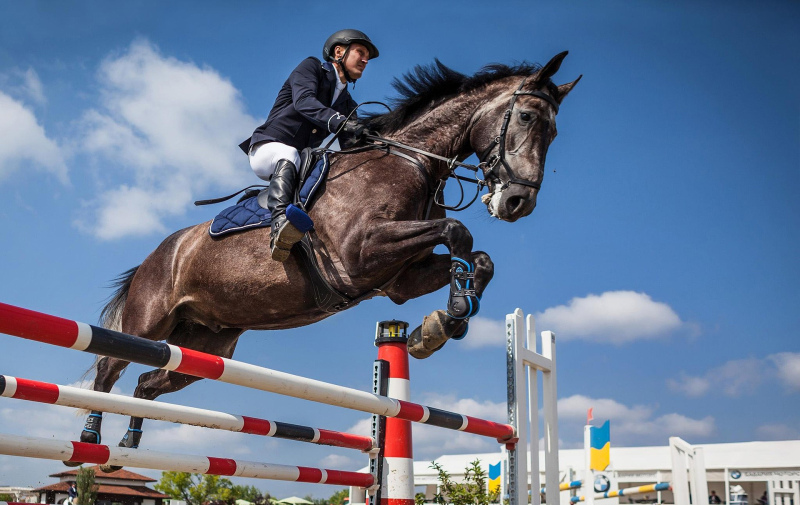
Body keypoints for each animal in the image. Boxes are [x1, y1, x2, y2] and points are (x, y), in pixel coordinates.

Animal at [74, 51, 580, 470]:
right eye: (527, 116)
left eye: (554, 131)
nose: (517, 203)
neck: (411, 164)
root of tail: (160, 252)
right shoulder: (360, 255)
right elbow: (460, 232)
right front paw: (447, 316)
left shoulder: (399, 279)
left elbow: (480, 258)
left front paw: (441, 324)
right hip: (149, 321)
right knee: (109, 365)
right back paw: (90, 439)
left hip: (208, 343)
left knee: (148, 382)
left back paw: (128, 443)